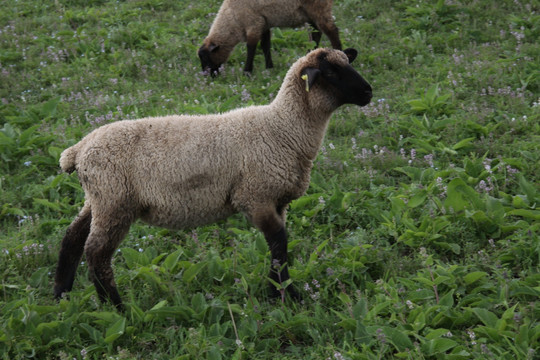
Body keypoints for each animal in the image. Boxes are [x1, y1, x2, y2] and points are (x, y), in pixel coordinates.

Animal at [53, 48, 372, 312]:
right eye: (331, 72)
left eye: (347, 62)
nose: (369, 92)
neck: (282, 128)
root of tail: (78, 150)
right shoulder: (255, 196)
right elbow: (279, 243)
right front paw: (287, 296)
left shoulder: (277, 201)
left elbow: (278, 246)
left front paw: (275, 292)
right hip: (114, 201)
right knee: (96, 253)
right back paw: (116, 309)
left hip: (99, 199)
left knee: (71, 239)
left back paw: (61, 299)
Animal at [198, 0, 342, 74]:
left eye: (205, 57)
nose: (207, 76)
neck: (233, 20)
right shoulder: (263, 23)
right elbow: (265, 45)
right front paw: (269, 67)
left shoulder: (253, 24)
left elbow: (251, 48)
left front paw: (247, 72)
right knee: (316, 34)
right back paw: (308, 56)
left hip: (319, 8)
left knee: (332, 31)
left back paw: (340, 54)